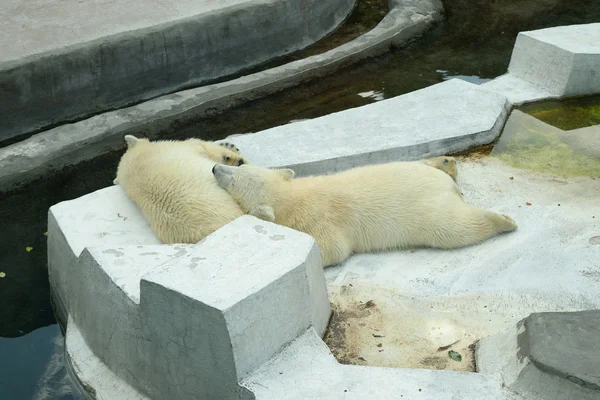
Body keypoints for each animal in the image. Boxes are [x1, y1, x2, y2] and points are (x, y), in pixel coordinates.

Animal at [213, 161, 516, 268]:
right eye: (238, 166)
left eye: (234, 176)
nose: (215, 167)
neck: (293, 196)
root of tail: (449, 185)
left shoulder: (318, 220)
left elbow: (333, 249)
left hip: (429, 211)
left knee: (452, 228)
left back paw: (505, 221)